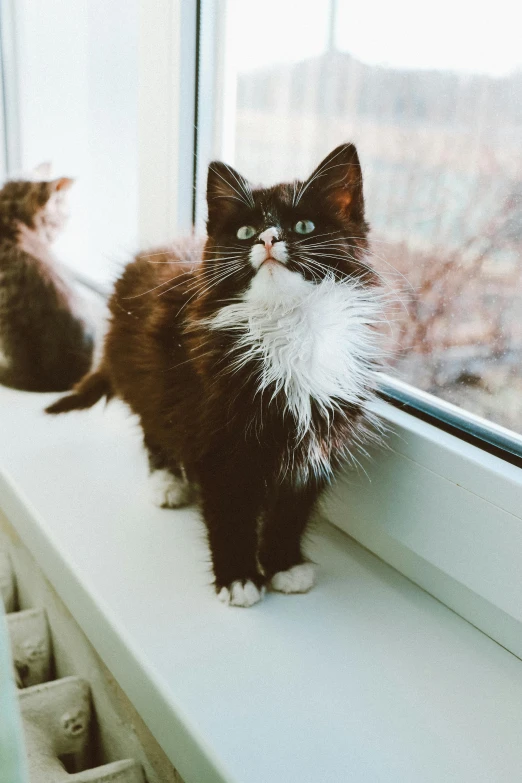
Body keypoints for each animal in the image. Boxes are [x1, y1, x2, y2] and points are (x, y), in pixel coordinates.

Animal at [47, 145, 382, 608]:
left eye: (304, 226)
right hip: (148, 377)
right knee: (153, 422)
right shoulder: (215, 434)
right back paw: (167, 481)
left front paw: (283, 565)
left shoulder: (318, 437)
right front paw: (238, 577)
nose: (268, 238)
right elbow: (229, 511)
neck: (285, 326)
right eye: (245, 231)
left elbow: (290, 509)